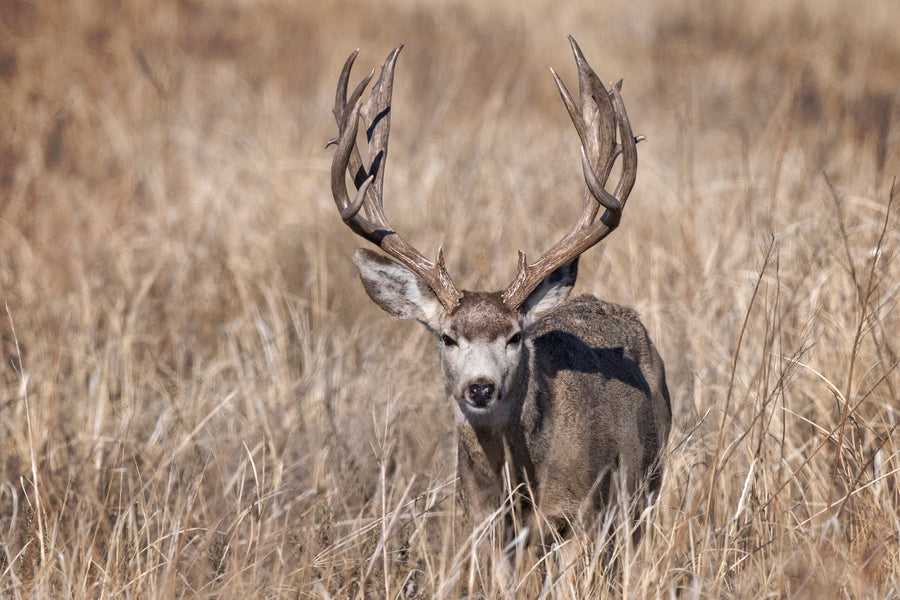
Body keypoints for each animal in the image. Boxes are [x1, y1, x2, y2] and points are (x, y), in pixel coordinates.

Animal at [326, 36, 671, 553]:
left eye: (514, 336)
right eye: (447, 338)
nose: (481, 387)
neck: (520, 485)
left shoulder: (584, 513)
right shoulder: (481, 522)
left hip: (644, 486)